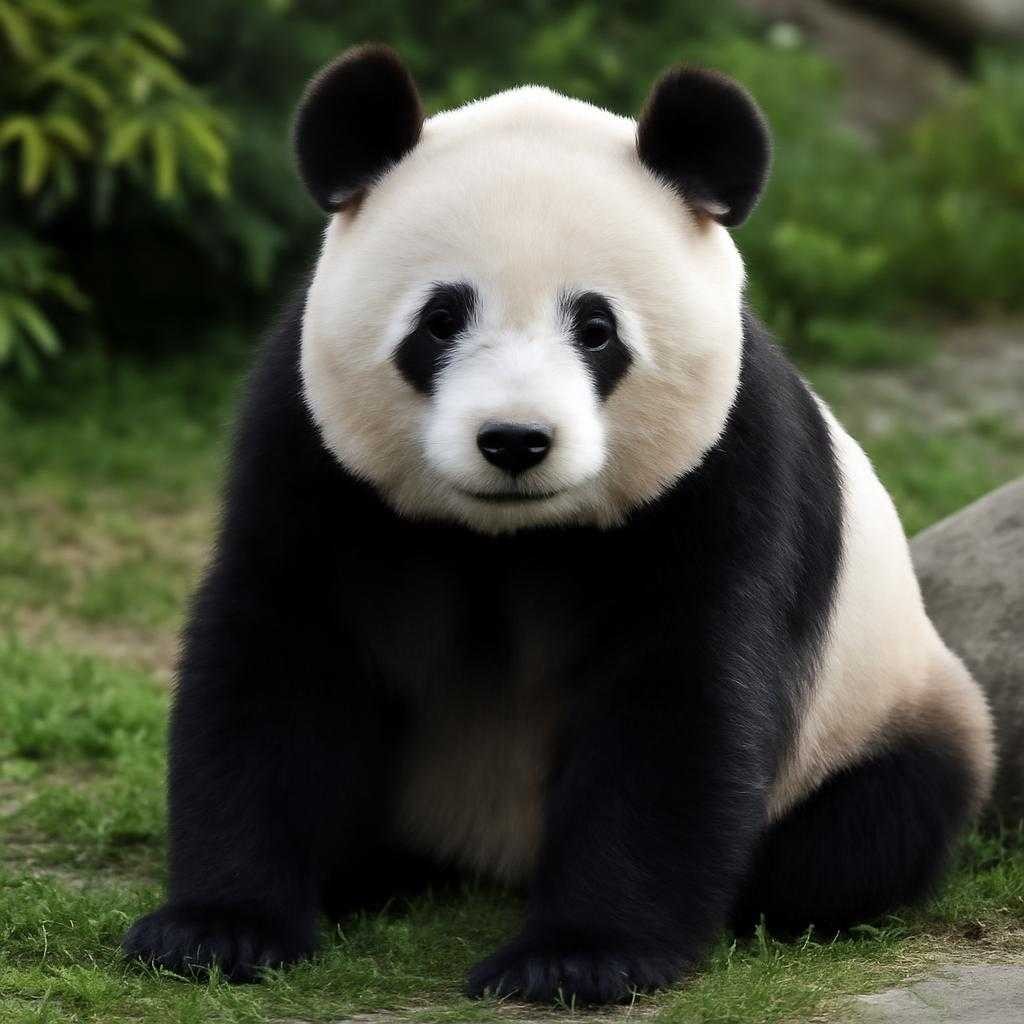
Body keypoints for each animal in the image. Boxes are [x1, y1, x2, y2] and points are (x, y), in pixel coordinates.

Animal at [124, 45, 996, 1004]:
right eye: (440, 319)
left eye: (596, 327)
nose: (514, 440)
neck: (509, 537)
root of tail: (488, 857)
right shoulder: (310, 448)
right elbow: (282, 654)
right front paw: (218, 930)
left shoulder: (728, 468)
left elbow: (678, 697)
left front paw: (577, 955)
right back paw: (369, 874)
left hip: (883, 710)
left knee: (867, 829)